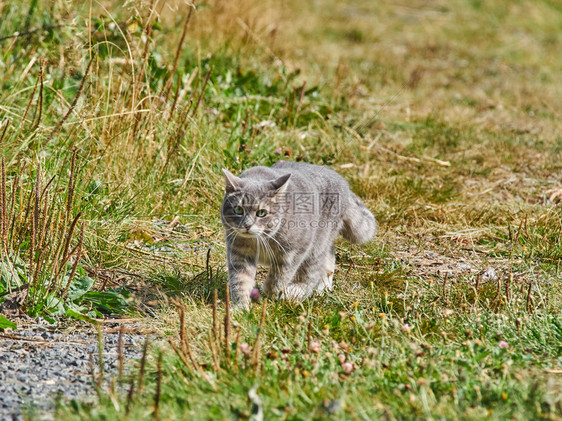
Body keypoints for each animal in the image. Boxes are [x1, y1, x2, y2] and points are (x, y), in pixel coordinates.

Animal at [220, 161, 376, 308]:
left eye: (262, 213)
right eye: (238, 209)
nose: (247, 225)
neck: (258, 240)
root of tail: (344, 184)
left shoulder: (295, 251)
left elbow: (280, 276)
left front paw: (270, 292)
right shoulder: (239, 254)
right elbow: (240, 280)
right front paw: (240, 307)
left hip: (317, 245)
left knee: (313, 271)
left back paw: (297, 292)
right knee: (329, 258)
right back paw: (323, 289)